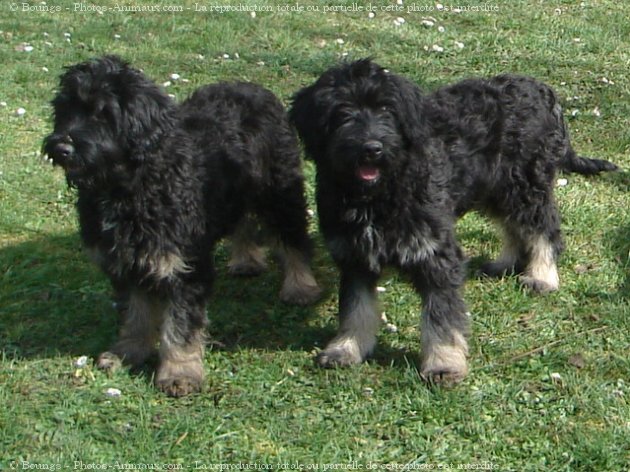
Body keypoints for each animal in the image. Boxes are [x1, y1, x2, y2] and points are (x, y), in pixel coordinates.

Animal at [43, 56, 326, 398]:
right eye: (65, 109)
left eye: (103, 113)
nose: (61, 147)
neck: (132, 185)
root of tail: (252, 87)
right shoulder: (127, 263)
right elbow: (136, 314)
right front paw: (128, 352)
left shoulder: (184, 267)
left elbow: (180, 327)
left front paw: (179, 372)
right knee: (243, 222)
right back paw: (246, 259)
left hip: (279, 189)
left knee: (293, 238)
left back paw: (301, 286)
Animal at [292, 59, 616, 384]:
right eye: (342, 112)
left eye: (386, 109)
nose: (372, 148)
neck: (379, 193)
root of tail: (543, 91)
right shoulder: (354, 257)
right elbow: (355, 308)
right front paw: (345, 349)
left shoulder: (436, 252)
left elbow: (441, 317)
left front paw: (443, 363)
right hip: (496, 188)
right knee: (513, 226)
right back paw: (506, 263)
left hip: (525, 184)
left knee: (543, 229)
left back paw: (542, 276)